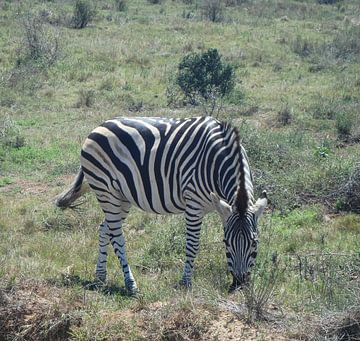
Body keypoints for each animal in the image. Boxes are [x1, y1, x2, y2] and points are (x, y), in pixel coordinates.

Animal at [55, 115, 268, 294]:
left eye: (255, 243)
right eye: (226, 242)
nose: (239, 284)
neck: (217, 161)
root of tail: (98, 127)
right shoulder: (193, 204)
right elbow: (192, 244)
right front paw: (185, 282)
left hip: (121, 197)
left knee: (104, 229)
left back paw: (100, 276)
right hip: (106, 191)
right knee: (117, 235)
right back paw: (130, 284)